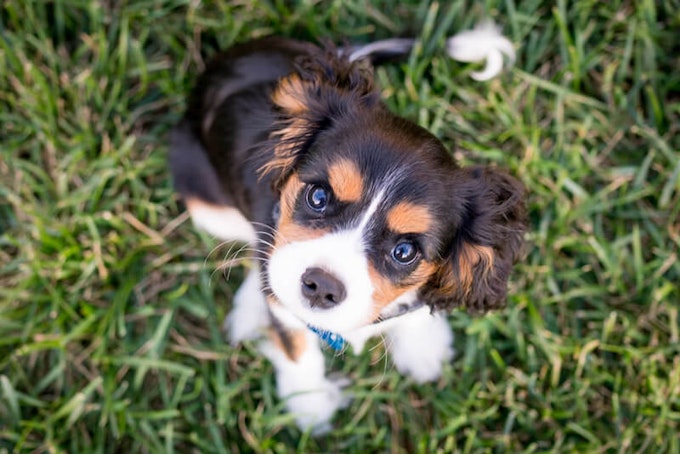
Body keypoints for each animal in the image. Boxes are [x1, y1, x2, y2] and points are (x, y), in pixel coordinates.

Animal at [169, 35, 524, 432]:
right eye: (318, 197)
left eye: (405, 251)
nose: (321, 286)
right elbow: (295, 344)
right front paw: (309, 407)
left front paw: (423, 347)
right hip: (206, 201)